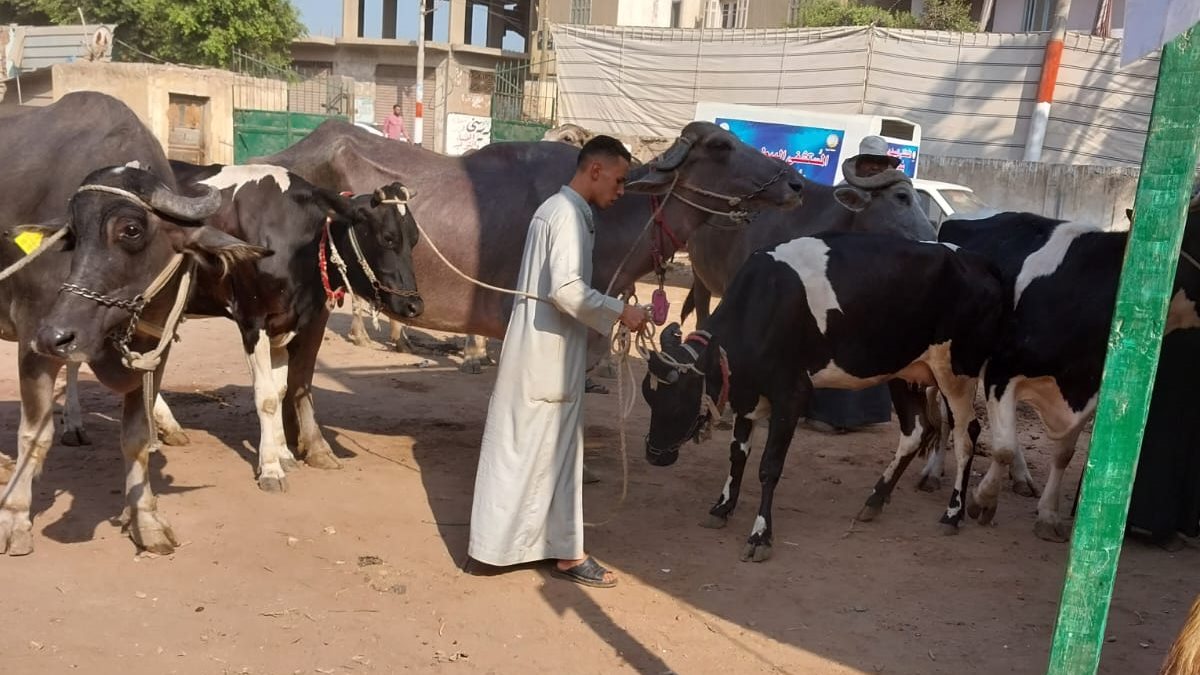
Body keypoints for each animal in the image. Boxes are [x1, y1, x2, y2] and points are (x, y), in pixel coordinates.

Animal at [41, 159, 427, 492]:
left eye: (414, 239)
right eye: (387, 237)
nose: (414, 304)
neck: (291, 236)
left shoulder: (292, 320)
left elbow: (283, 389)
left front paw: (284, 453)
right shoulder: (253, 320)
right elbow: (266, 396)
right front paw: (270, 467)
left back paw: (163, 428)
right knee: (74, 353)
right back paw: (76, 425)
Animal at [638, 230, 1003, 557]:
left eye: (679, 402)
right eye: (650, 398)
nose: (654, 455)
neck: (765, 302)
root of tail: (978, 261)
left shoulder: (792, 395)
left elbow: (769, 467)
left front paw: (760, 535)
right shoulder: (748, 395)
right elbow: (738, 455)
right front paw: (723, 507)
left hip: (956, 374)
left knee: (966, 435)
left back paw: (952, 514)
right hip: (904, 372)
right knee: (915, 431)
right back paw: (875, 499)